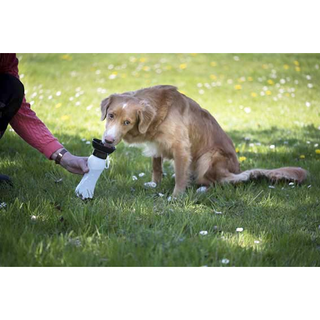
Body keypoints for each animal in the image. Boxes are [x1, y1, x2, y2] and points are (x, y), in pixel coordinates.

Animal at [100, 85, 308, 195]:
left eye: (127, 122)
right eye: (110, 115)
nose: (108, 141)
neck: (160, 114)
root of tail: (236, 171)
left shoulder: (182, 148)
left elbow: (180, 175)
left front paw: (176, 196)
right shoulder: (157, 145)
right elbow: (156, 167)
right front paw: (155, 184)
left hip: (209, 157)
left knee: (219, 182)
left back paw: (202, 189)